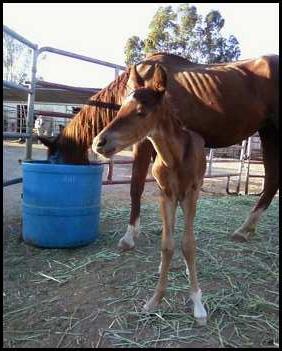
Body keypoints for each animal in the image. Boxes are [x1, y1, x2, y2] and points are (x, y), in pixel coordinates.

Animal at [92, 66, 207, 324]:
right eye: (120, 109)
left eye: (141, 112)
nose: (98, 142)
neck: (175, 158)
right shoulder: (165, 196)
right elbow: (167, 245)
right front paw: (155, 299)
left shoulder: (190, 194)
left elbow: (189, 244)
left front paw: (197, 302)